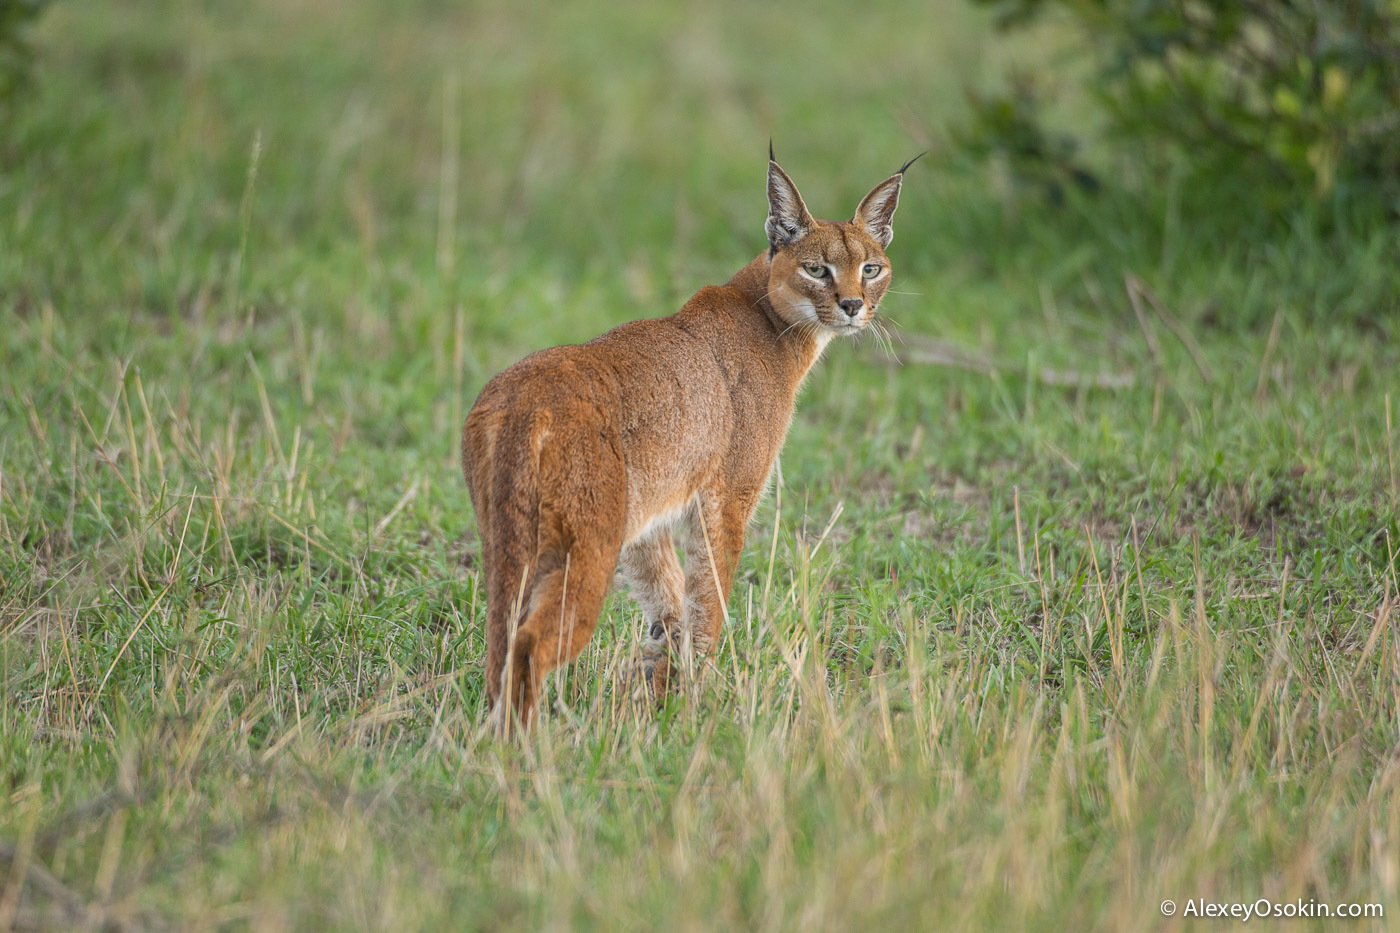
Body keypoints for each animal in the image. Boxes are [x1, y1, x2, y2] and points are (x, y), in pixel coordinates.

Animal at [462, 149, 918, 728]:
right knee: (529, 645)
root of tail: (521, 399)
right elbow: (710, 596)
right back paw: (526, 747)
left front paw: (661, 687)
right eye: (817, 268)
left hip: (510, 539)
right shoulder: (728, 499)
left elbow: (670, 600)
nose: (853, 305)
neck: (770, 317)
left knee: (499, 639)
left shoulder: (648, 516)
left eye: (871, 268)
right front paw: (703, 695)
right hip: (586, 546)